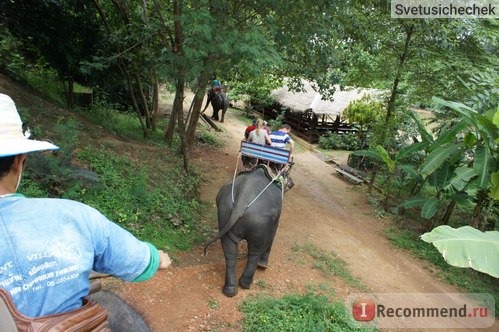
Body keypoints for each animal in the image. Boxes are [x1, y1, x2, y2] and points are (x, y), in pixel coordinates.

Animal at [205, 166, 294, 298]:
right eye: (287, 175)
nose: (293, 183)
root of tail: (241, 201)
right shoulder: (275, 219)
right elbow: (272, 235)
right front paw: (263, 264)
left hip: (224, 213)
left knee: (230, 252)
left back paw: (230, 291)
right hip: (260, 221)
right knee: (255, 251)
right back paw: (246, 284)